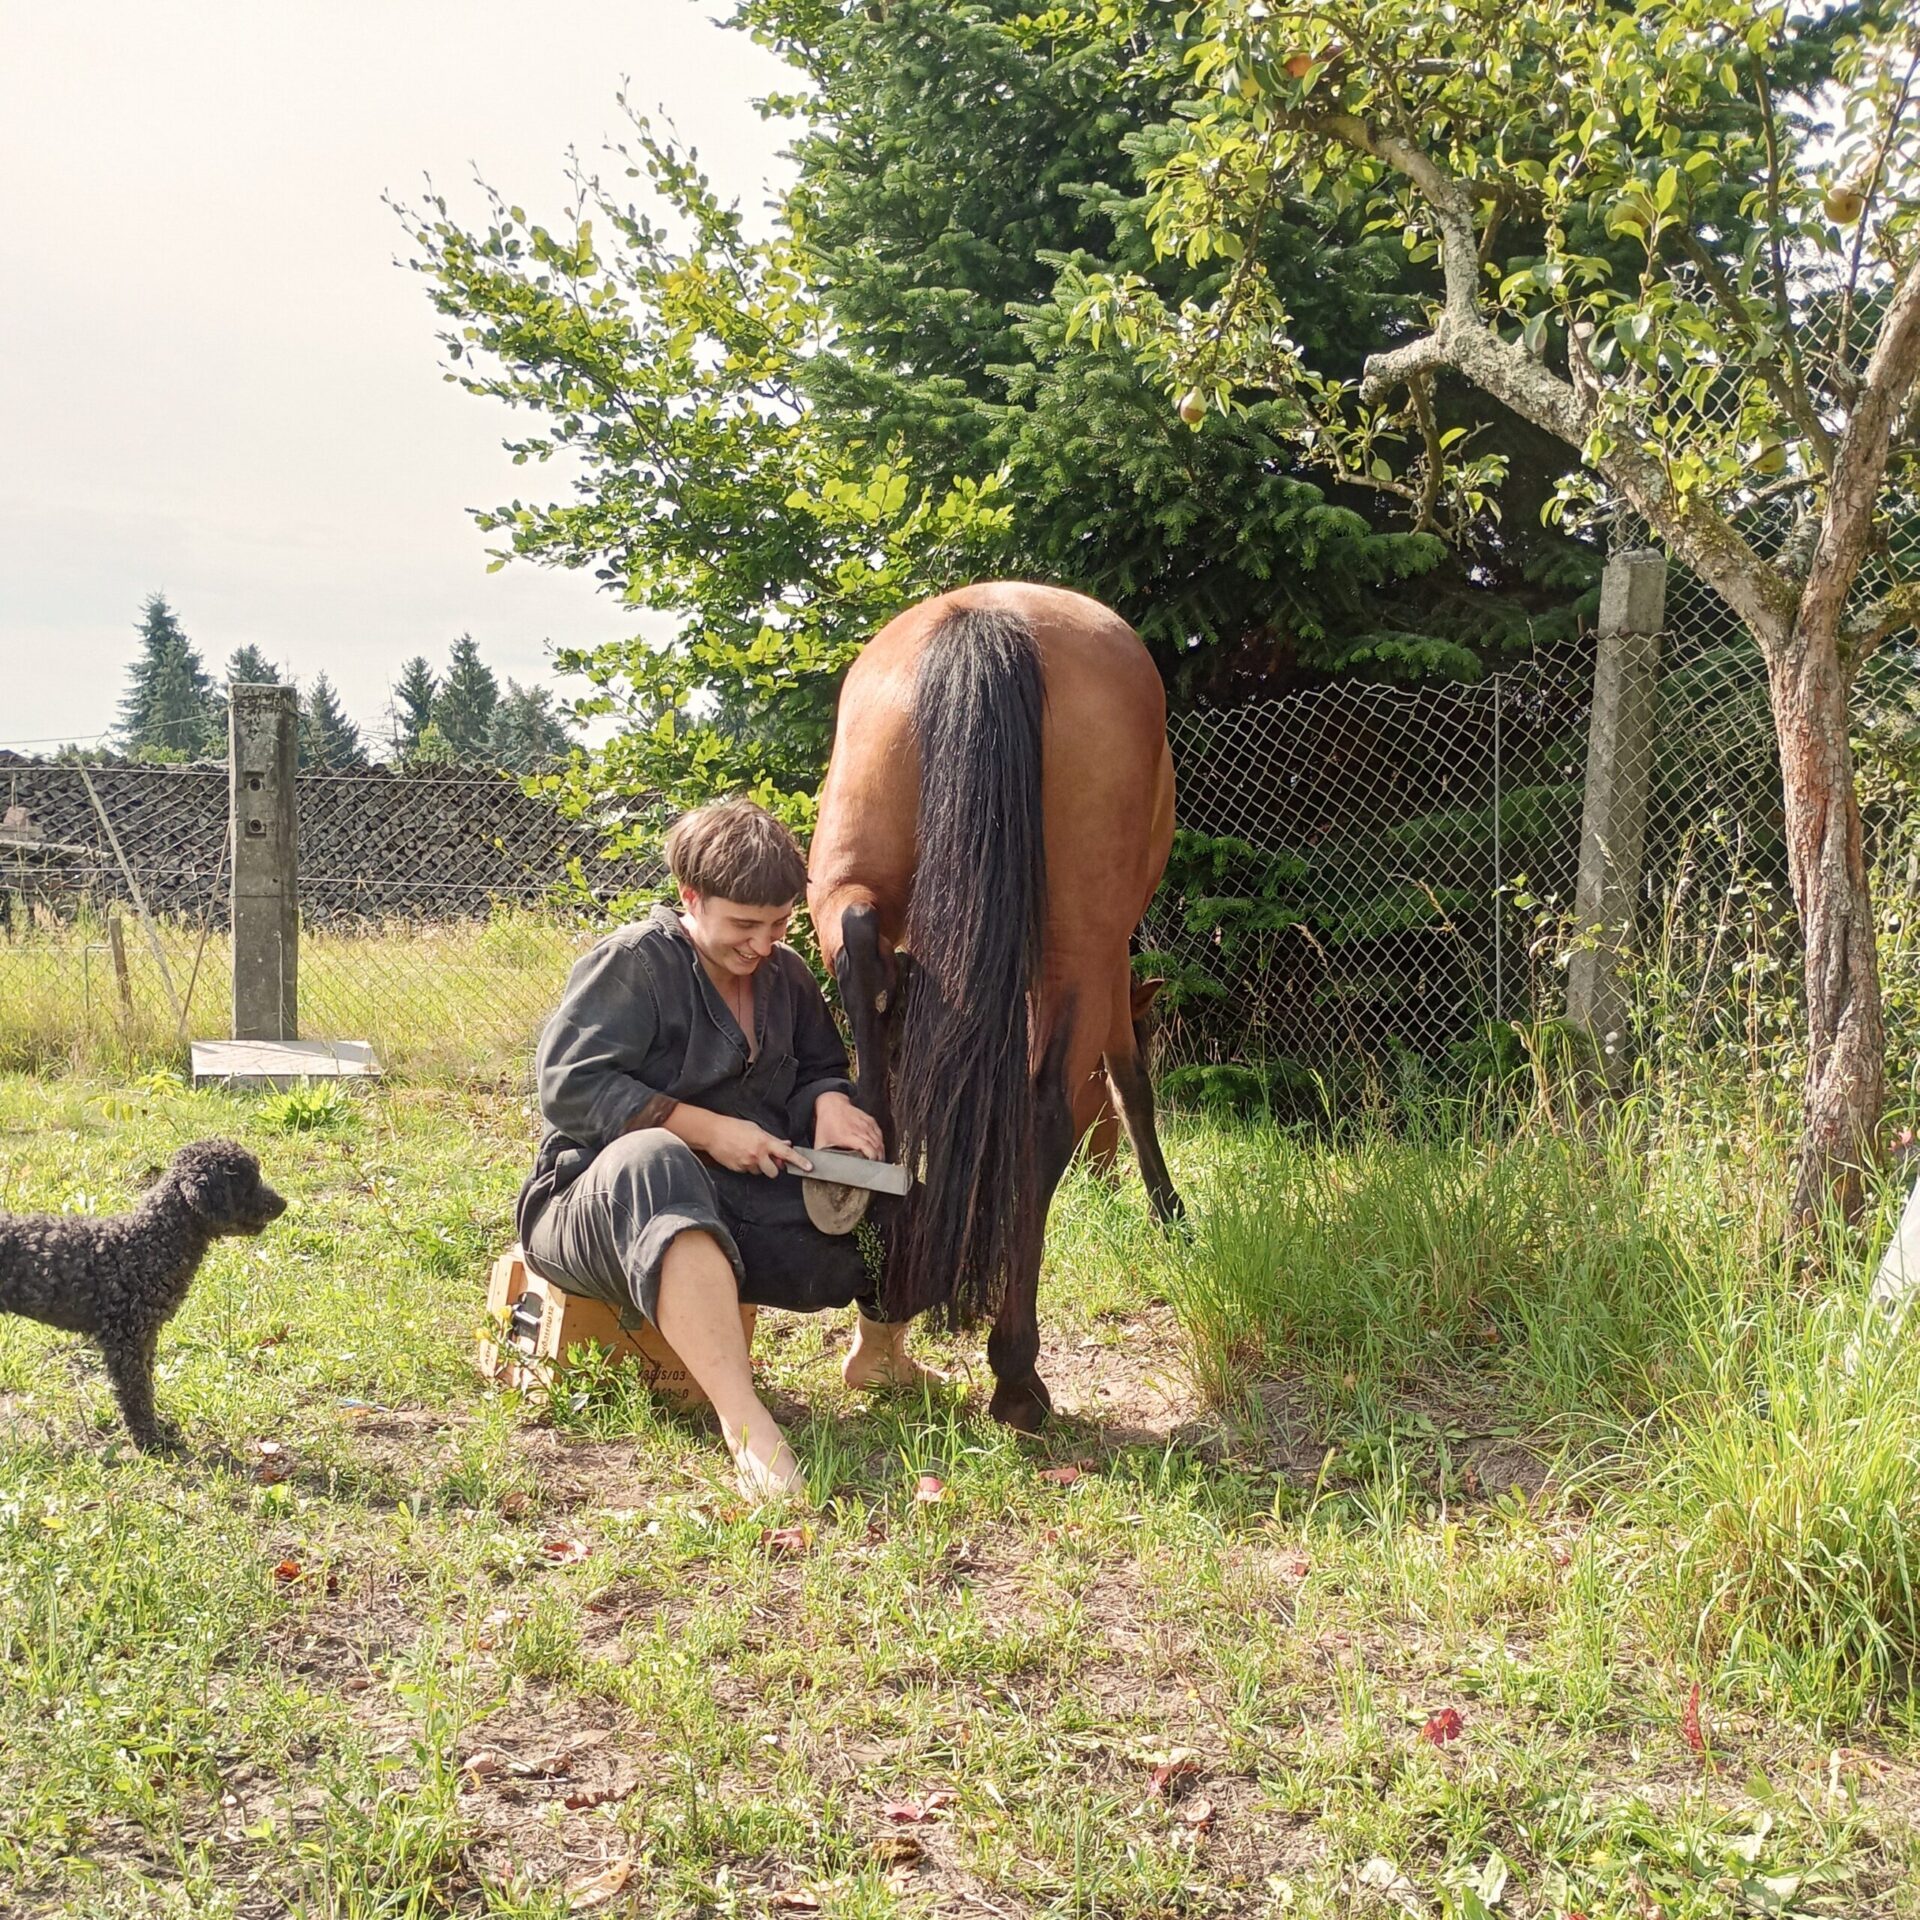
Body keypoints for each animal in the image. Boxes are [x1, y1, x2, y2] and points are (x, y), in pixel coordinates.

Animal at [0, 1128, 286, 1443]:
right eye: (248, 1183)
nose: (282, 1203)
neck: (147, 1246)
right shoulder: (126, 1343)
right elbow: (136, 1395)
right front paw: (150, 1440)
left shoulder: (147, 1336)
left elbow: (147, 1385)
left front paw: (158, 1428)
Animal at [798, 576, 1182, 1436]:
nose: (1106, 1180)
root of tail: (985, 620)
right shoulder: (1110, 965)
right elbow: (1128, 1080)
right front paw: (1169, 1213)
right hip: (1081, 942)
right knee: (1041, 1117)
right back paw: (1016, 1374)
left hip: (846, 883)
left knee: (872, 1035)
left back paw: (883, 1301)